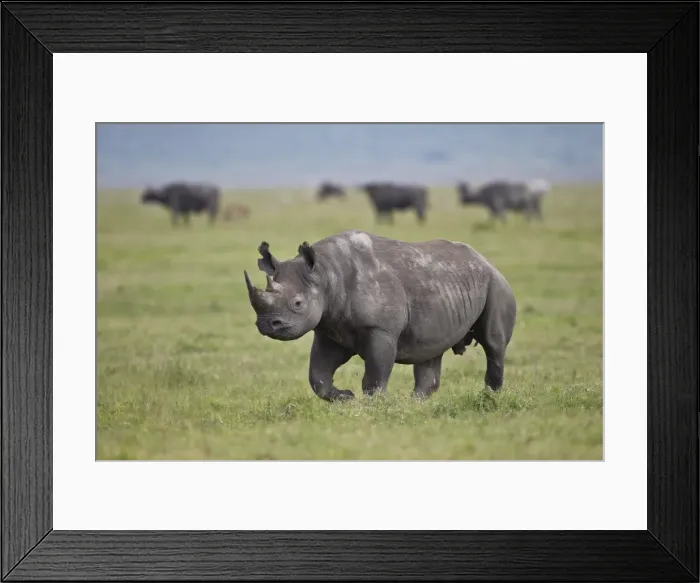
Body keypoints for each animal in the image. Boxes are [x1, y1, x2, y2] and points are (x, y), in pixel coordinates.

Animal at [243, 230, 516, 402]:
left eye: (298, 303)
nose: (267, 324)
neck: (325, 274)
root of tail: (487, 261)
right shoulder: (328, 328)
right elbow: (318, 377)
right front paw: (346, 398)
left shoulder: (380, 329)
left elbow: (375, 374)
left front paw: (374, 406)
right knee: (430, 351)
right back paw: (414, 405)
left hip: (496, 285)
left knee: (493, 344)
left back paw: (490, 396)